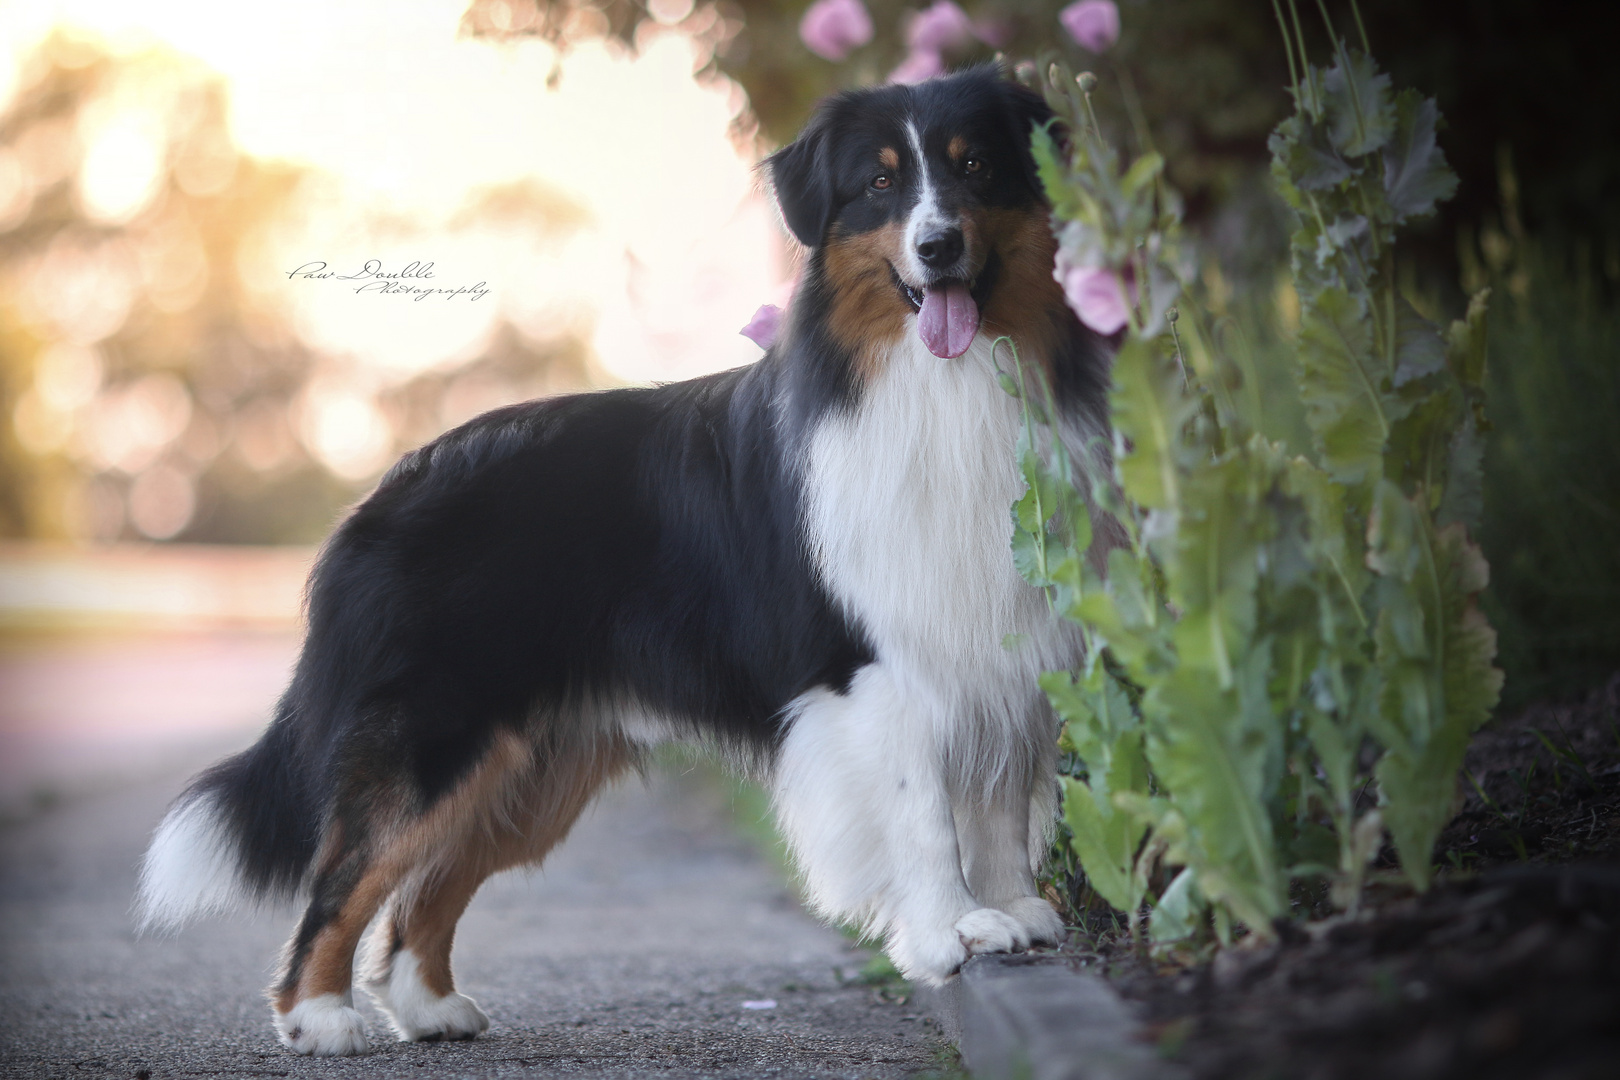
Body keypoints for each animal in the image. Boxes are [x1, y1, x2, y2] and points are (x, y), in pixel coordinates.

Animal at [136, 65, 1114, 1055]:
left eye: (976, 167)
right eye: (879, 184)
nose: (938, 245)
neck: (935, 382)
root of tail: (379, 494)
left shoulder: (998, 637)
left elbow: (999, 798)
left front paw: (1011, 911)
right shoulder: (870, 666)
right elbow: (922, 812)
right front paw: (950, 933)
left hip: (532, 765)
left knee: (427, 890)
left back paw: (431, 1008)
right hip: (437, 730)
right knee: (343, 880)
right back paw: (320, 1019)